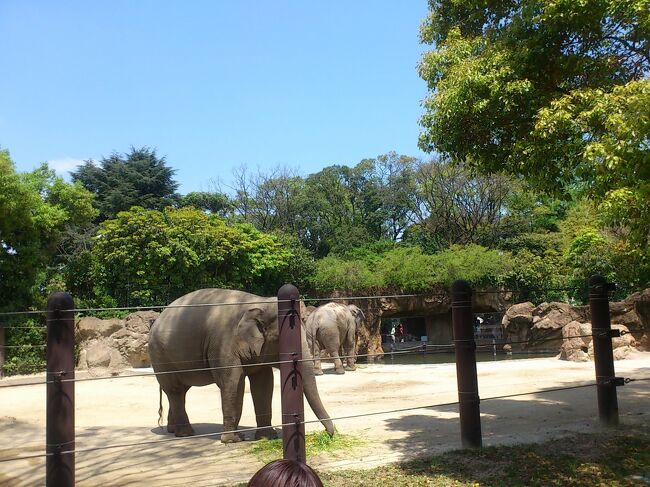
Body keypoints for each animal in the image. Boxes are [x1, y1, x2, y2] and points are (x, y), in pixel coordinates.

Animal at [147, 288, 334, 444]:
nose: (330, 434)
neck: (259, 302)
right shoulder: (223, 343)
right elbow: (233, 382)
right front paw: (233, 440)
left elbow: (263, 383)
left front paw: (267, 437)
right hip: (160, 356)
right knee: (175, 390)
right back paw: (185, 434)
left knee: (181, 391)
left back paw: (172, 430)